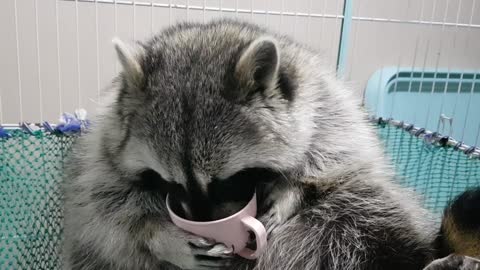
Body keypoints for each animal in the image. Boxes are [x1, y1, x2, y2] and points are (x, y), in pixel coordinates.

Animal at [64, 19, 438, 270]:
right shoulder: (104, 145)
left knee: (361, 213)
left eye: (228, 180)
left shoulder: (329, 113)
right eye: (169, 183)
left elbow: (335, 164)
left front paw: (289, 193)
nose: (205, 225)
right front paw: (162, 235)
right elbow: (109, 210)